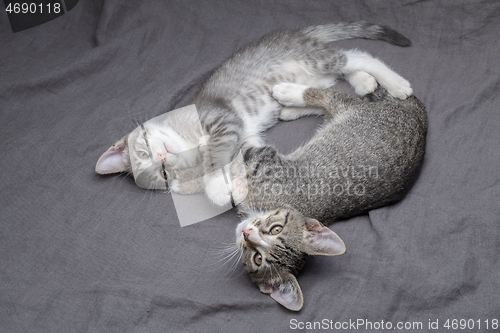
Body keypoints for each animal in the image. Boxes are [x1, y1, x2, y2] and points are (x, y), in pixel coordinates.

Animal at [94, 21, 414, 205]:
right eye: (160, 172)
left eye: (143, 151)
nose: (161, 156)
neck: (187, 139)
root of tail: (295, 33)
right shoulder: (246, 139)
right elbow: (237, 161)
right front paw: (224, 186)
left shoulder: (222, 121)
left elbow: (214, 158)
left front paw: (215, 187)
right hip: (315, 75)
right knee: (333, 79)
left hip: (315, 59)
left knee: (356, 57)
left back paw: (393, 83)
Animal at [233, 82, 426, 308]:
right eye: (276, 229)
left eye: (258, 258)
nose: (247, 234)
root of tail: (421, 122)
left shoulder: (265, 161)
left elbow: (243, 148)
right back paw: (288, 109)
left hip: (351, 110)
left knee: (328, 95)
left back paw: (289, 93)